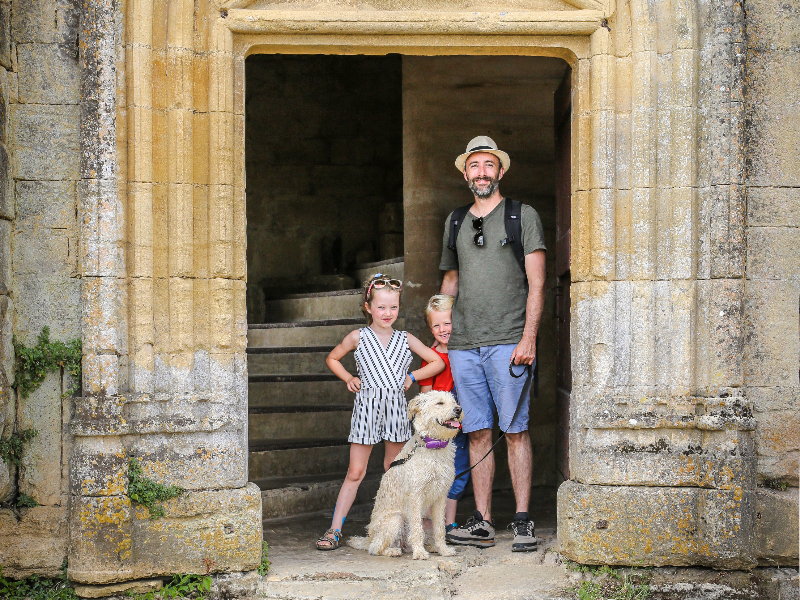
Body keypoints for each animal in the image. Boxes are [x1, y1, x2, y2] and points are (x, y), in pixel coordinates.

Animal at [348, 392, 462, 560]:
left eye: (454, 402)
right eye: (439, 403)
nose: (458, 409)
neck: (433, 447)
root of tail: (368, 539)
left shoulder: (441, 496)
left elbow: (440, 529)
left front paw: (444, 550)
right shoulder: (416, 496)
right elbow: (416, 530)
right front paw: (419, 553)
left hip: (427, 520)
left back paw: (432, 547)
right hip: (395, 520)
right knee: (375, 548)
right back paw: (393, 551)